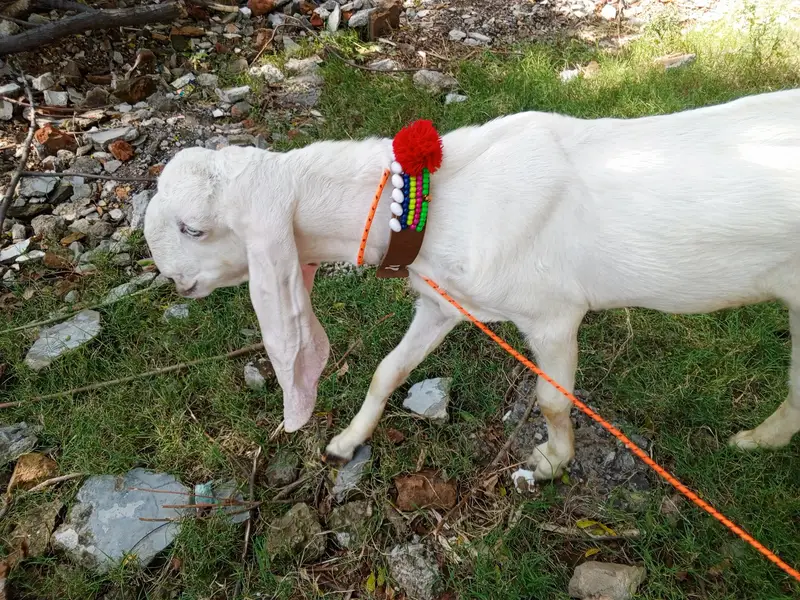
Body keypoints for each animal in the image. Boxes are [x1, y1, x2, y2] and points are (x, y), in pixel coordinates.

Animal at [144, 88, 800, 480]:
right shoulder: (443, 303)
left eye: (194, 228)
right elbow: (389, 369)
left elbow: (552, 400)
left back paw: (755, 442)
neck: (445, 200)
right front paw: (348, 440)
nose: (171, 278)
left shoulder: (553, 316)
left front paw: (552, 460)